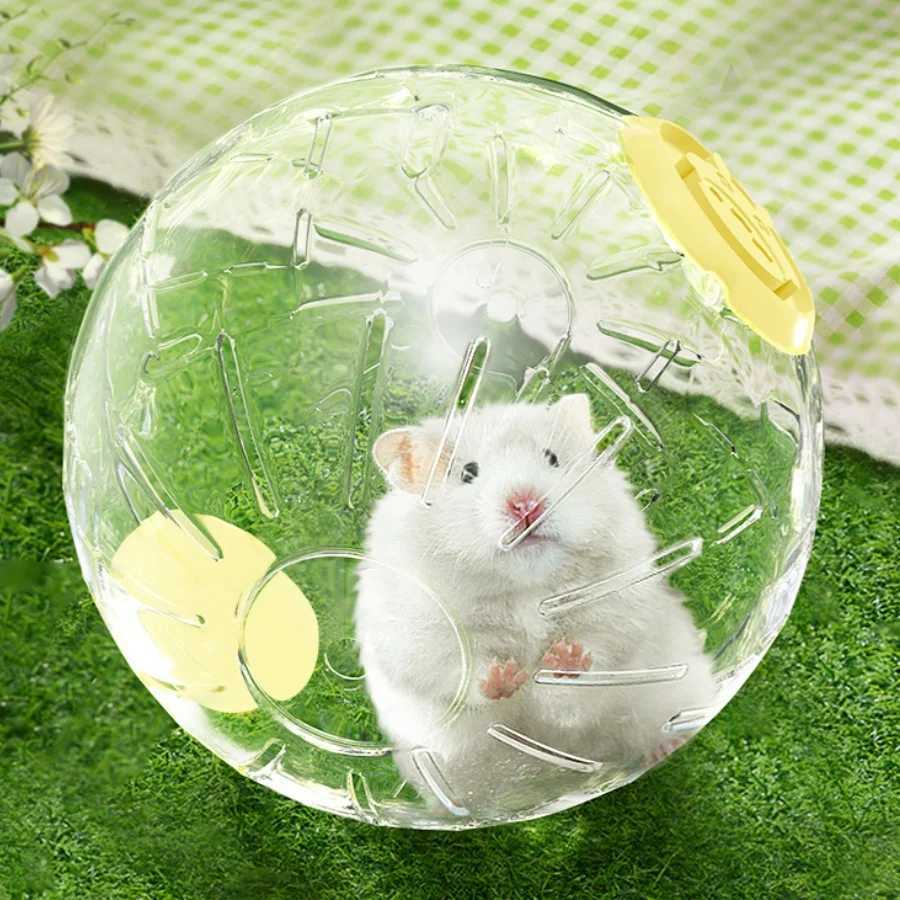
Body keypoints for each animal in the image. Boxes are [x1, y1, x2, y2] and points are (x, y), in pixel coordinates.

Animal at [355, 394, 717, 816]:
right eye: (468, 473)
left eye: (552, 458)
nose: (526, 504)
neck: (525, 587)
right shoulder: (421, 636)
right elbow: (463, 673)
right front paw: (505, 675)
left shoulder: (617, 619)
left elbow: (583, 677)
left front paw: (564, 659)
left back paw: (667, 743)